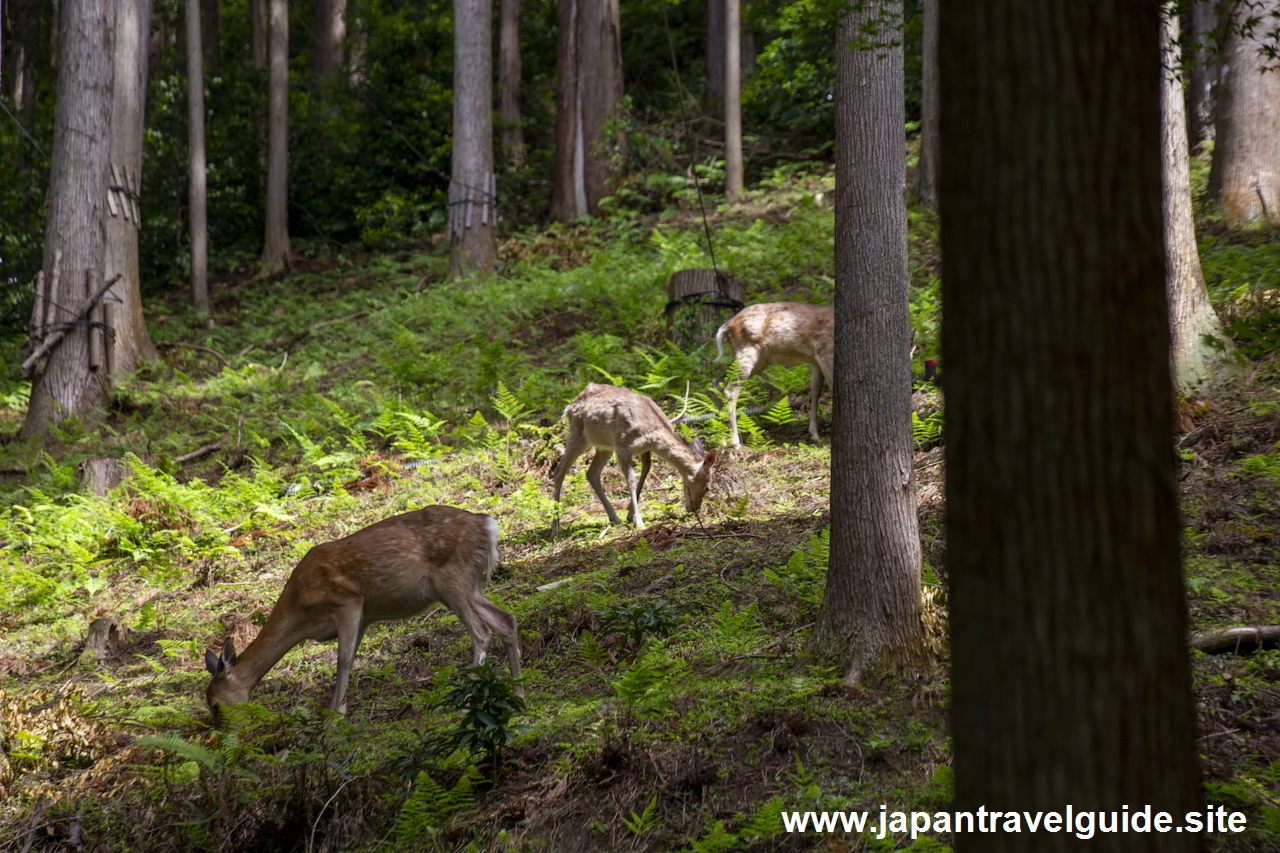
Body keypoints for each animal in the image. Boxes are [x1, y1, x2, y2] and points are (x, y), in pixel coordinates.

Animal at [203, 502, 519, 722]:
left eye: (216, 705)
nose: (223, 734)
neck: (300, 611)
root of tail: (488, 524)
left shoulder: (348, 601)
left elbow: (342, 660)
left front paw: (333, 717)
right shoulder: (365, 616)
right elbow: (351, 657)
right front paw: (334, 712)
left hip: (452, 579)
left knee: (481, 631)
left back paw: (468, 704)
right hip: (466, 586)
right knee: (506, 620)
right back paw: (518, 694)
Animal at [545, 384, 716, 532]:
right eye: (707, 487)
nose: (695, 509)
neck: (653, 433)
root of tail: (569, 407)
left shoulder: (645, 449)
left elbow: (646, 471)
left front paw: (630, 514)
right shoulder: (623, 446)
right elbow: (631, 481)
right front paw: (638, 521)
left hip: (605, 446)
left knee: (591, 473)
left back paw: (614, 517)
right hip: (579, 434)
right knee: (559, 471)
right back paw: (555, 527)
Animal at [716, 298, 834, 445]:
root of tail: (728, 325)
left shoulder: (815, 361)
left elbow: (816, 391)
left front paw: (815, 435)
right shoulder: (825, 352)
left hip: (758, 361)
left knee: (718, 382)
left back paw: (722, 439)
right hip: (747, 353)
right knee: (730, 391)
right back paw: (735, 442)